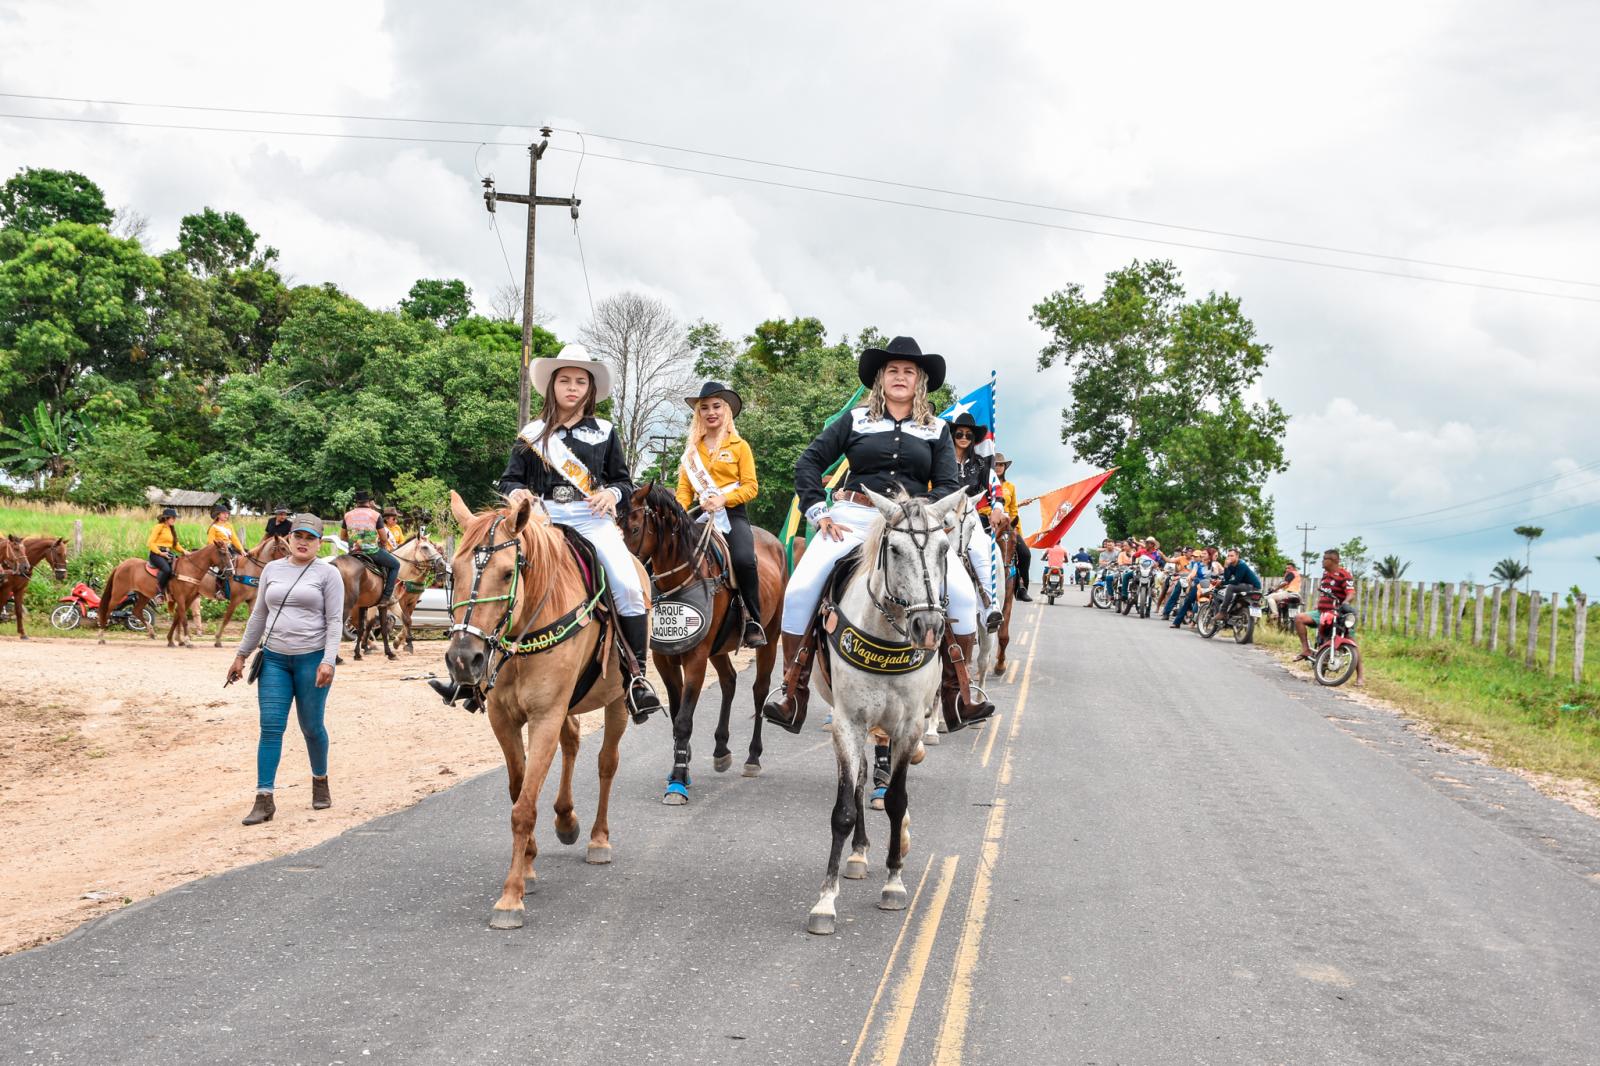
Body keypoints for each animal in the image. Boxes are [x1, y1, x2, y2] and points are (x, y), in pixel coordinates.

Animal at [444, 486, 636, 928]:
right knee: (573, 743)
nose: (463, 660)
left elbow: (524, 807)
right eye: (453, 572)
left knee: (606, 763)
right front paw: (529, 864)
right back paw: (566, 820)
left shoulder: (545, 716)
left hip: (617, 701)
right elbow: (519, 791)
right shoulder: (505, 719)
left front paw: (510, 897)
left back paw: (598, 839)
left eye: (505, 573)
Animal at [620, 480, 784, 797]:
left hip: (770, 636)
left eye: (633, 529)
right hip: (718, 648)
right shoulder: (666, 657)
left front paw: (678, 781)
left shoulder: (696, 657)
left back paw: (753, 757)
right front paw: (682, 764)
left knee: (759, 690)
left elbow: (684, 720)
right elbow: (676, 715)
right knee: (729, 680)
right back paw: (721, 750)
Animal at [800, 486, 960, 934]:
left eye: (944, 549)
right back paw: (857, 853)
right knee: (858, 784)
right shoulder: (847, 722)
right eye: (894, 549)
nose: (929, 628)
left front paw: (894, 881)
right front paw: (825, 900)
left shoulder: (907, 726)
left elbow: (897, 800)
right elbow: (843, 808)